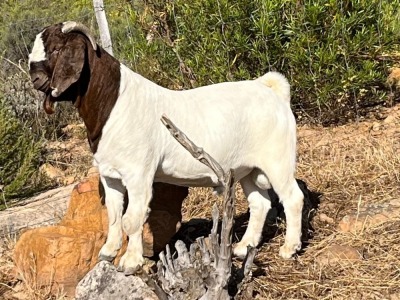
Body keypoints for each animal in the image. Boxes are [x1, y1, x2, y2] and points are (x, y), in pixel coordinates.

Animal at [28, 21, 304, 274]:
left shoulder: (138, 173)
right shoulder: (109, 174)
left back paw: (289, 248)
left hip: (277, 159)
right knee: (260, 203)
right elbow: (115, 215)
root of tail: (273, 92)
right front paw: (108, 252)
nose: (35, 79)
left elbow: (132, 218)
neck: (114, 103)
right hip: (247, 168)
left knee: (293, 198)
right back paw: (243, 247)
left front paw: (131, 261)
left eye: (56, 49)